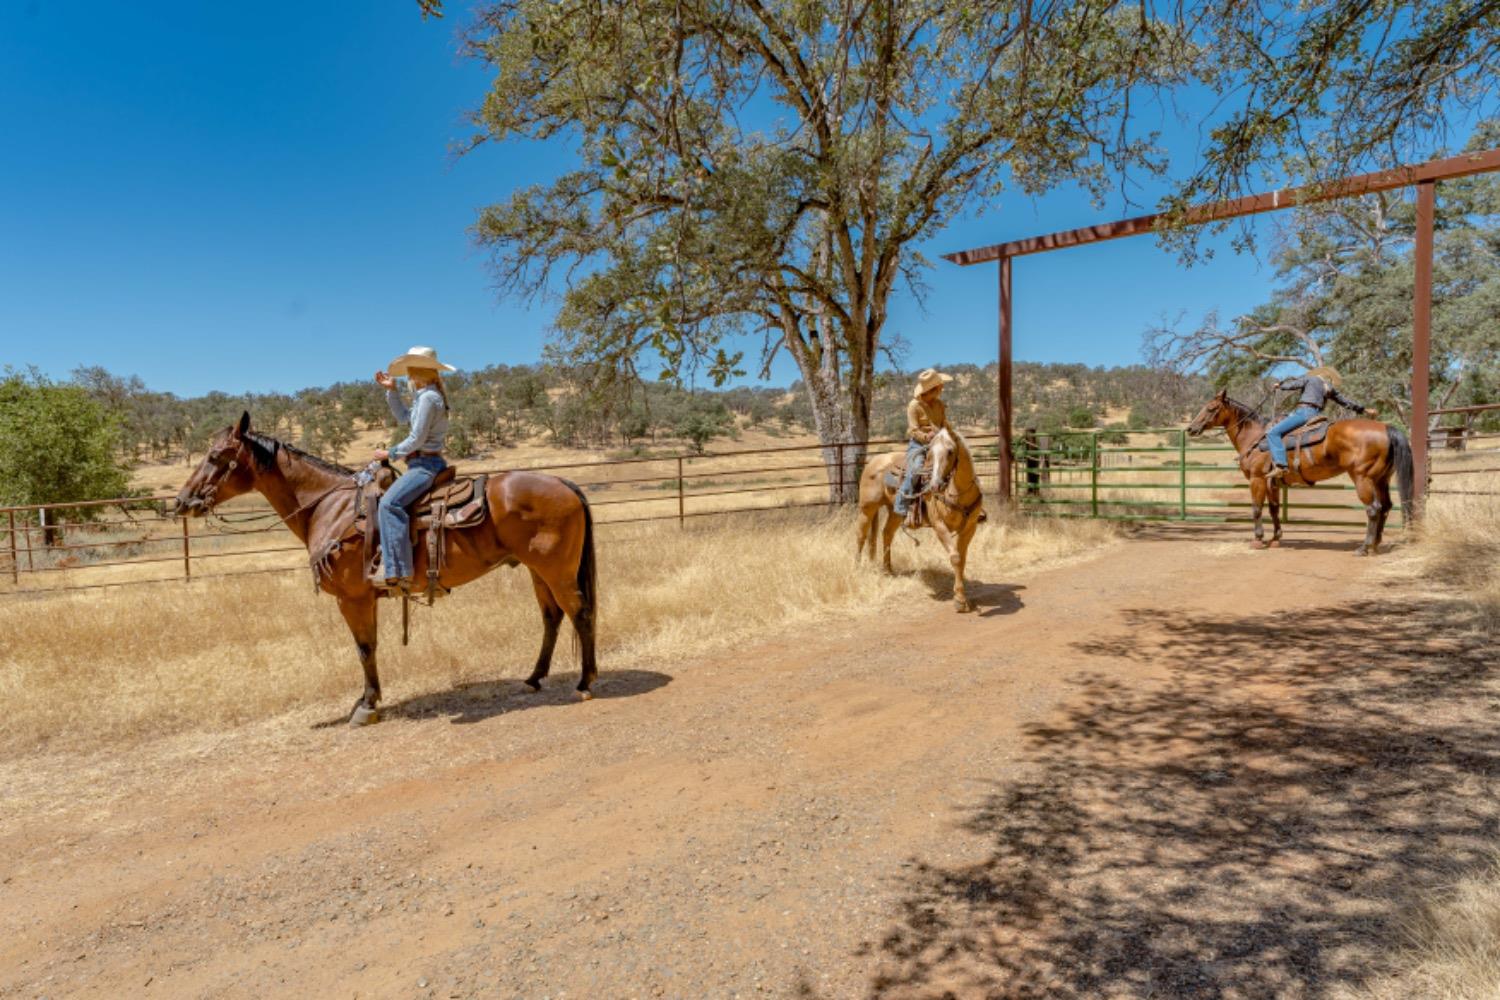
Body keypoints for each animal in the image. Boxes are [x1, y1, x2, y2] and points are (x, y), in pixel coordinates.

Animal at [175, 413, 597, 728]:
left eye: (216, 456)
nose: (182, 501)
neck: (329, 507)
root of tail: (564, 482)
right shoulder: (365, 598)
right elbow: (370, 646)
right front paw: (367, 699)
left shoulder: (352, 598)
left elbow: (364, 647)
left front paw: (367, 706)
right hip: (537, 570)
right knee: (552, 617)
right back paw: (534, 678)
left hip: (556, 569)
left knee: (580, 613)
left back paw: (585, 681)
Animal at [858, 428, 984, 611]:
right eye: (930, 453)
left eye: (950, 451)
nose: (935, 485)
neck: (957, 493)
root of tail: (875, 460)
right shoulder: (939, 526)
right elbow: (955, 557)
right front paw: (960, 601)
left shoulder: (970, 528)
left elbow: (962, 559)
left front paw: (962, 597)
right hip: (867, 509)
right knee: (861, 535)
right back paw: (856, 567)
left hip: (895, 512)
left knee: (887, 533)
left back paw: (888, 570)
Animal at [1188, 389, 1410, 554]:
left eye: (1211, 408)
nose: (1191, 428)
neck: (1256, 437)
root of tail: (1386, 428)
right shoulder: (1271, 483)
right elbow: (1274, 509)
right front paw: (1275, 539)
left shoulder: (1257, 479)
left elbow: (1256, 508)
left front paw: (1258, 539)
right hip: (1381, 479)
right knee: (1386, 507)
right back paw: (1375, 545)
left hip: (1362, 478)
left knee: (1373, 509)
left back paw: (1364, 547)